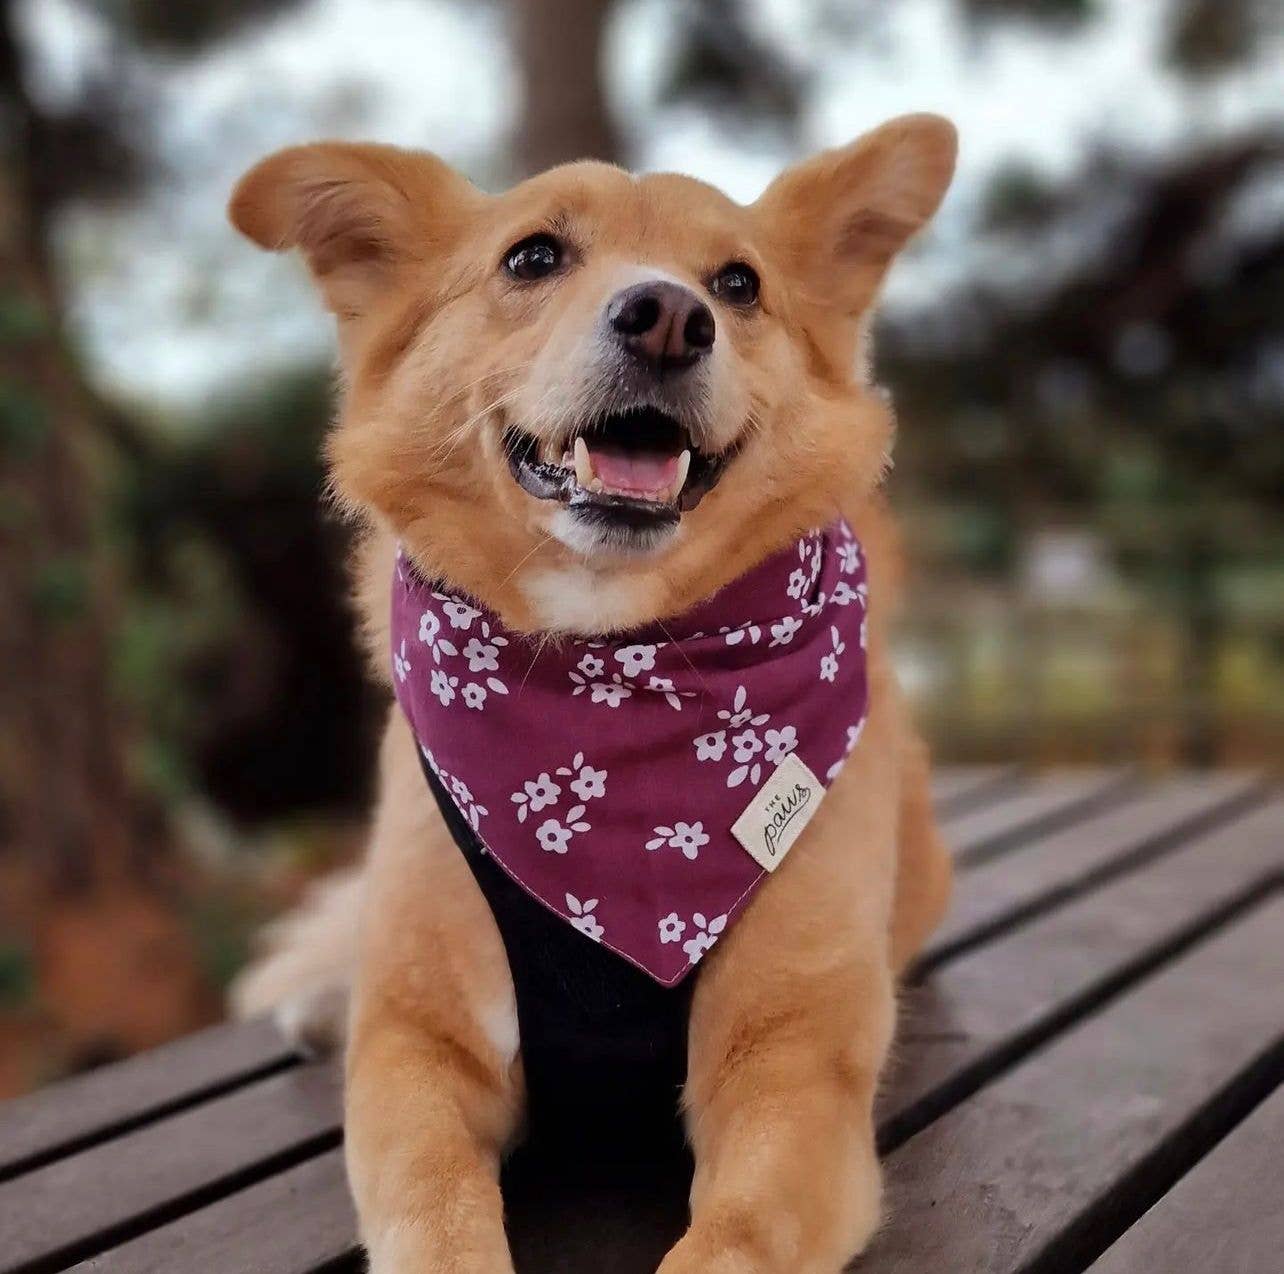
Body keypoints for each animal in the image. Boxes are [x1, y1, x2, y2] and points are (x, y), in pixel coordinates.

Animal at [228, 114, 955, 1268]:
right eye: (533, 257)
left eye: (739, 283)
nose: (670, 319)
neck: (604, 683)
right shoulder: (418, 1051)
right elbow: (434, 1204)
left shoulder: (792, 1067)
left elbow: (735, 1231)